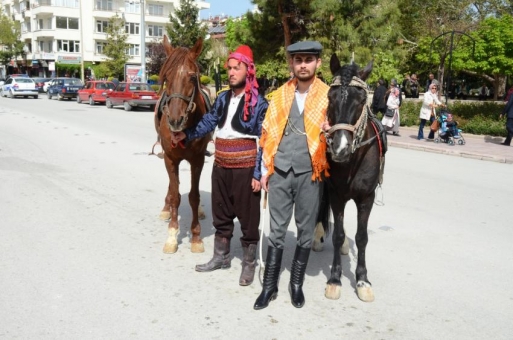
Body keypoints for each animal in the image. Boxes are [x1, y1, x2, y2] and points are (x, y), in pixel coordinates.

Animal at [314, 55, 386, 302]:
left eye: (362, 99)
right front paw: (335, 279)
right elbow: (337, 233)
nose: (340, 147)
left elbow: (362, 237)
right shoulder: (336, 194)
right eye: (330, 96)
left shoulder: (367, 197)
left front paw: (362, 279)